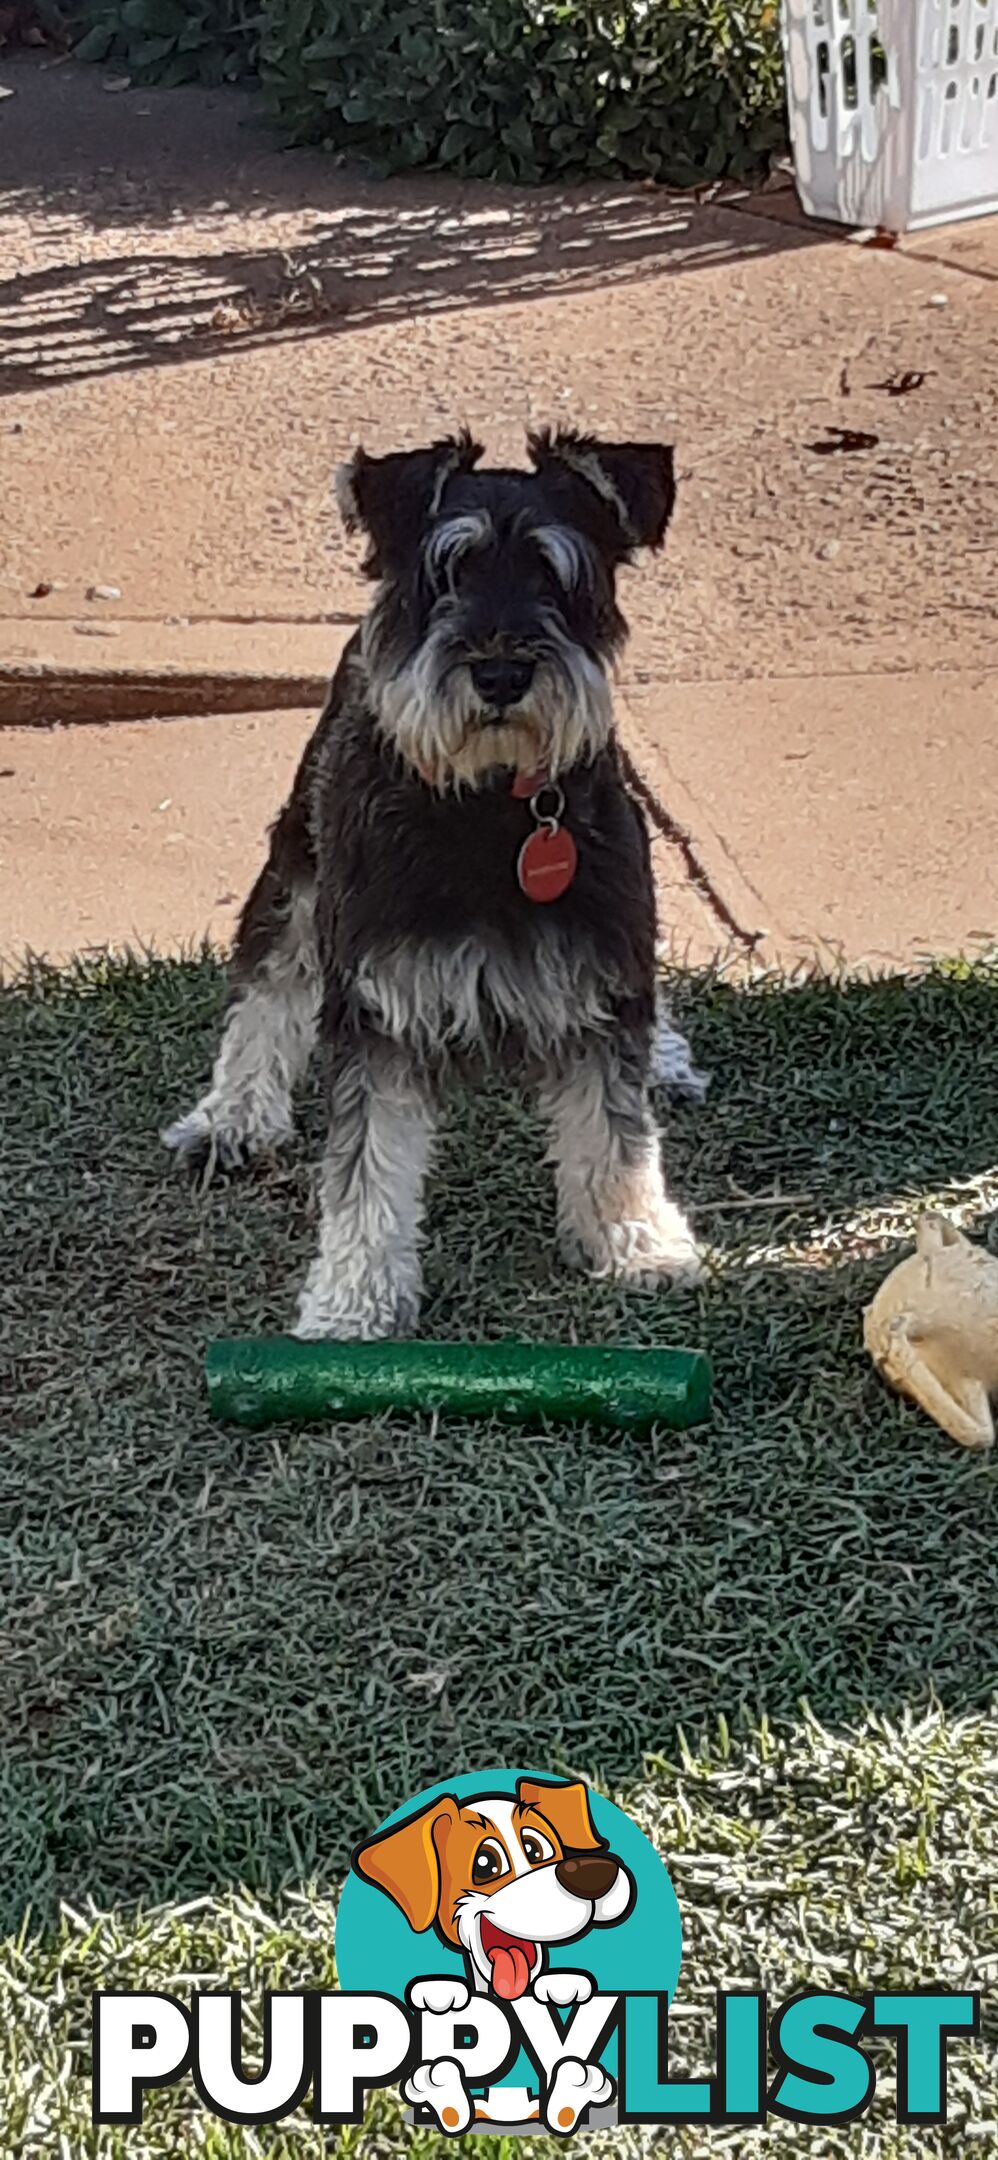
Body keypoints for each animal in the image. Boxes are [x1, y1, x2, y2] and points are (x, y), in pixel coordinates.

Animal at [164, 423, 699, 1339]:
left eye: (557, 575)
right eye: (446, 575)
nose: (501, 672)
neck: (493, 810)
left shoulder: (602, 978)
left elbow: (616, 1132)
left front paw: (638, 1242)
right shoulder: (381, 1009)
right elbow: (367, 1172)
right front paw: (352, 1302)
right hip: (297, 867)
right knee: (267, 985)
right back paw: (230, 1116)